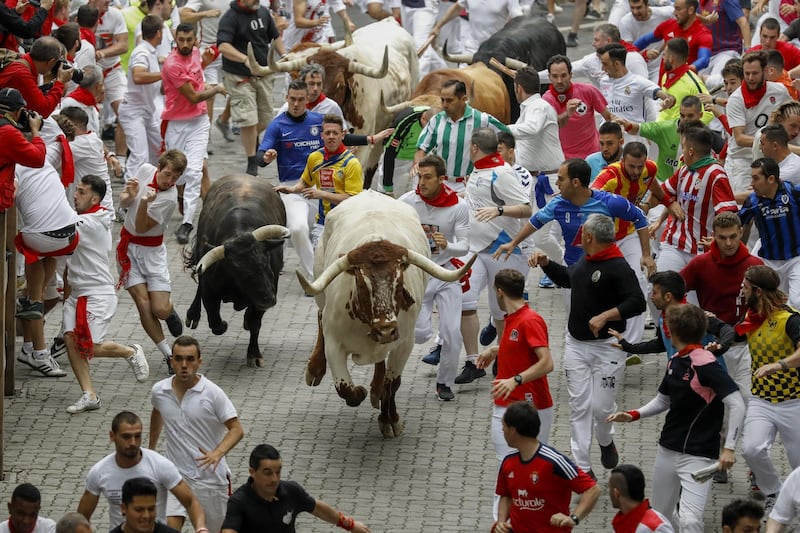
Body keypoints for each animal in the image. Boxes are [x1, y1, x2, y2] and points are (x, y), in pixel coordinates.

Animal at [186, 175, 290, 366]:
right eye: (240, 272)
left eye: (266, 265)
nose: (269, 300)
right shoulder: (210, 291)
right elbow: (215, 322)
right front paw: (223, 325)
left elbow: (255, 322)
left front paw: (254, 354)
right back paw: (193, 315)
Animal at [300, 191, 476, 436]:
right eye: (361, 281)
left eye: (398, 280)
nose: (385, 329)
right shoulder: (334, 343)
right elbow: (345, 389)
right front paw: (361, 392)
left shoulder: (404, 343)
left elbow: (392, 384)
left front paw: (389, 418)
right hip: (321, 292)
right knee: (319, 315)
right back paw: (316, 368)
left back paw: (376, 389)